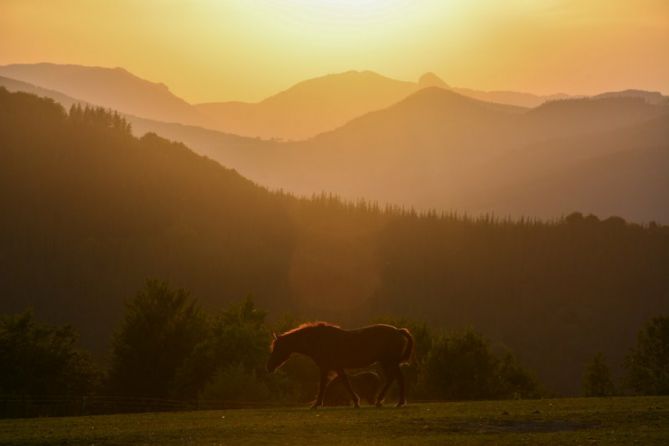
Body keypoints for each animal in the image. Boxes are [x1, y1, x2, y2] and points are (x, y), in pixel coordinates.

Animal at [266, 322, 412, 410]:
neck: (317, 340)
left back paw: (395, 402)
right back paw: (384, 401)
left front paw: (316, 404)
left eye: (277, 348)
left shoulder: (325, 368)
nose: (269, 367)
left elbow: (323, 385)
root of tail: (398, 331)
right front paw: (356, 402)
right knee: (394, 378)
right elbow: (345, 382)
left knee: (398, 378)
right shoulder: (337, 367)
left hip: (388, 362)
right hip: (387, 362)